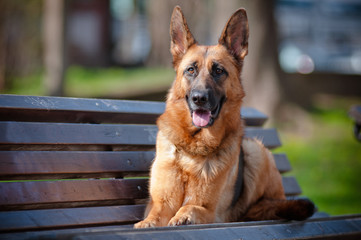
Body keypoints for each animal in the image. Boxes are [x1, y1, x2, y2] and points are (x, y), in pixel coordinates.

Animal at [134, 5, 314, 227]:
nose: (199, 98)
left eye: (219, 71)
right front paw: (146, 224)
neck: (194, 146)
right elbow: (155, 215)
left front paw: (183, 217)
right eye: (190, 70)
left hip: (256, 150)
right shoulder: (160, 203)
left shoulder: (210, 211)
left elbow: (190, 207)